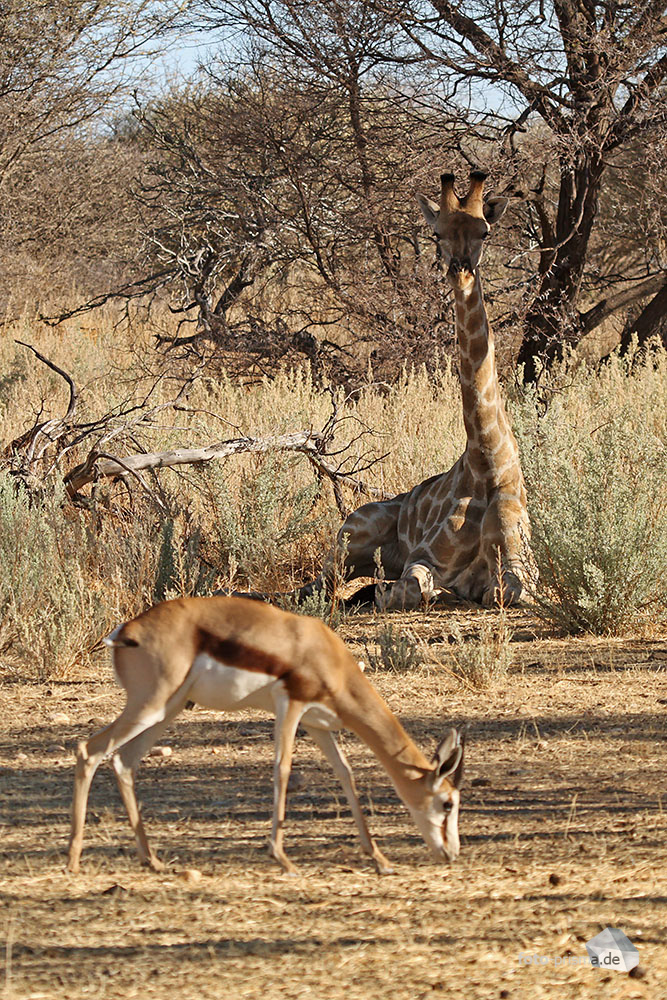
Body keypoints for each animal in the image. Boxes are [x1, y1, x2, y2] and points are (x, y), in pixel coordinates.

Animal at [300, 171, 528, 608]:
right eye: (437, 232)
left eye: (485, 231)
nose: (460, 270)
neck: (488, 461)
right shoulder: (423, 558)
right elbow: (406, 589)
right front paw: (419, 592)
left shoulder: (523, 566)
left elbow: (505, 590)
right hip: (352, 533)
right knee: (315, 588)